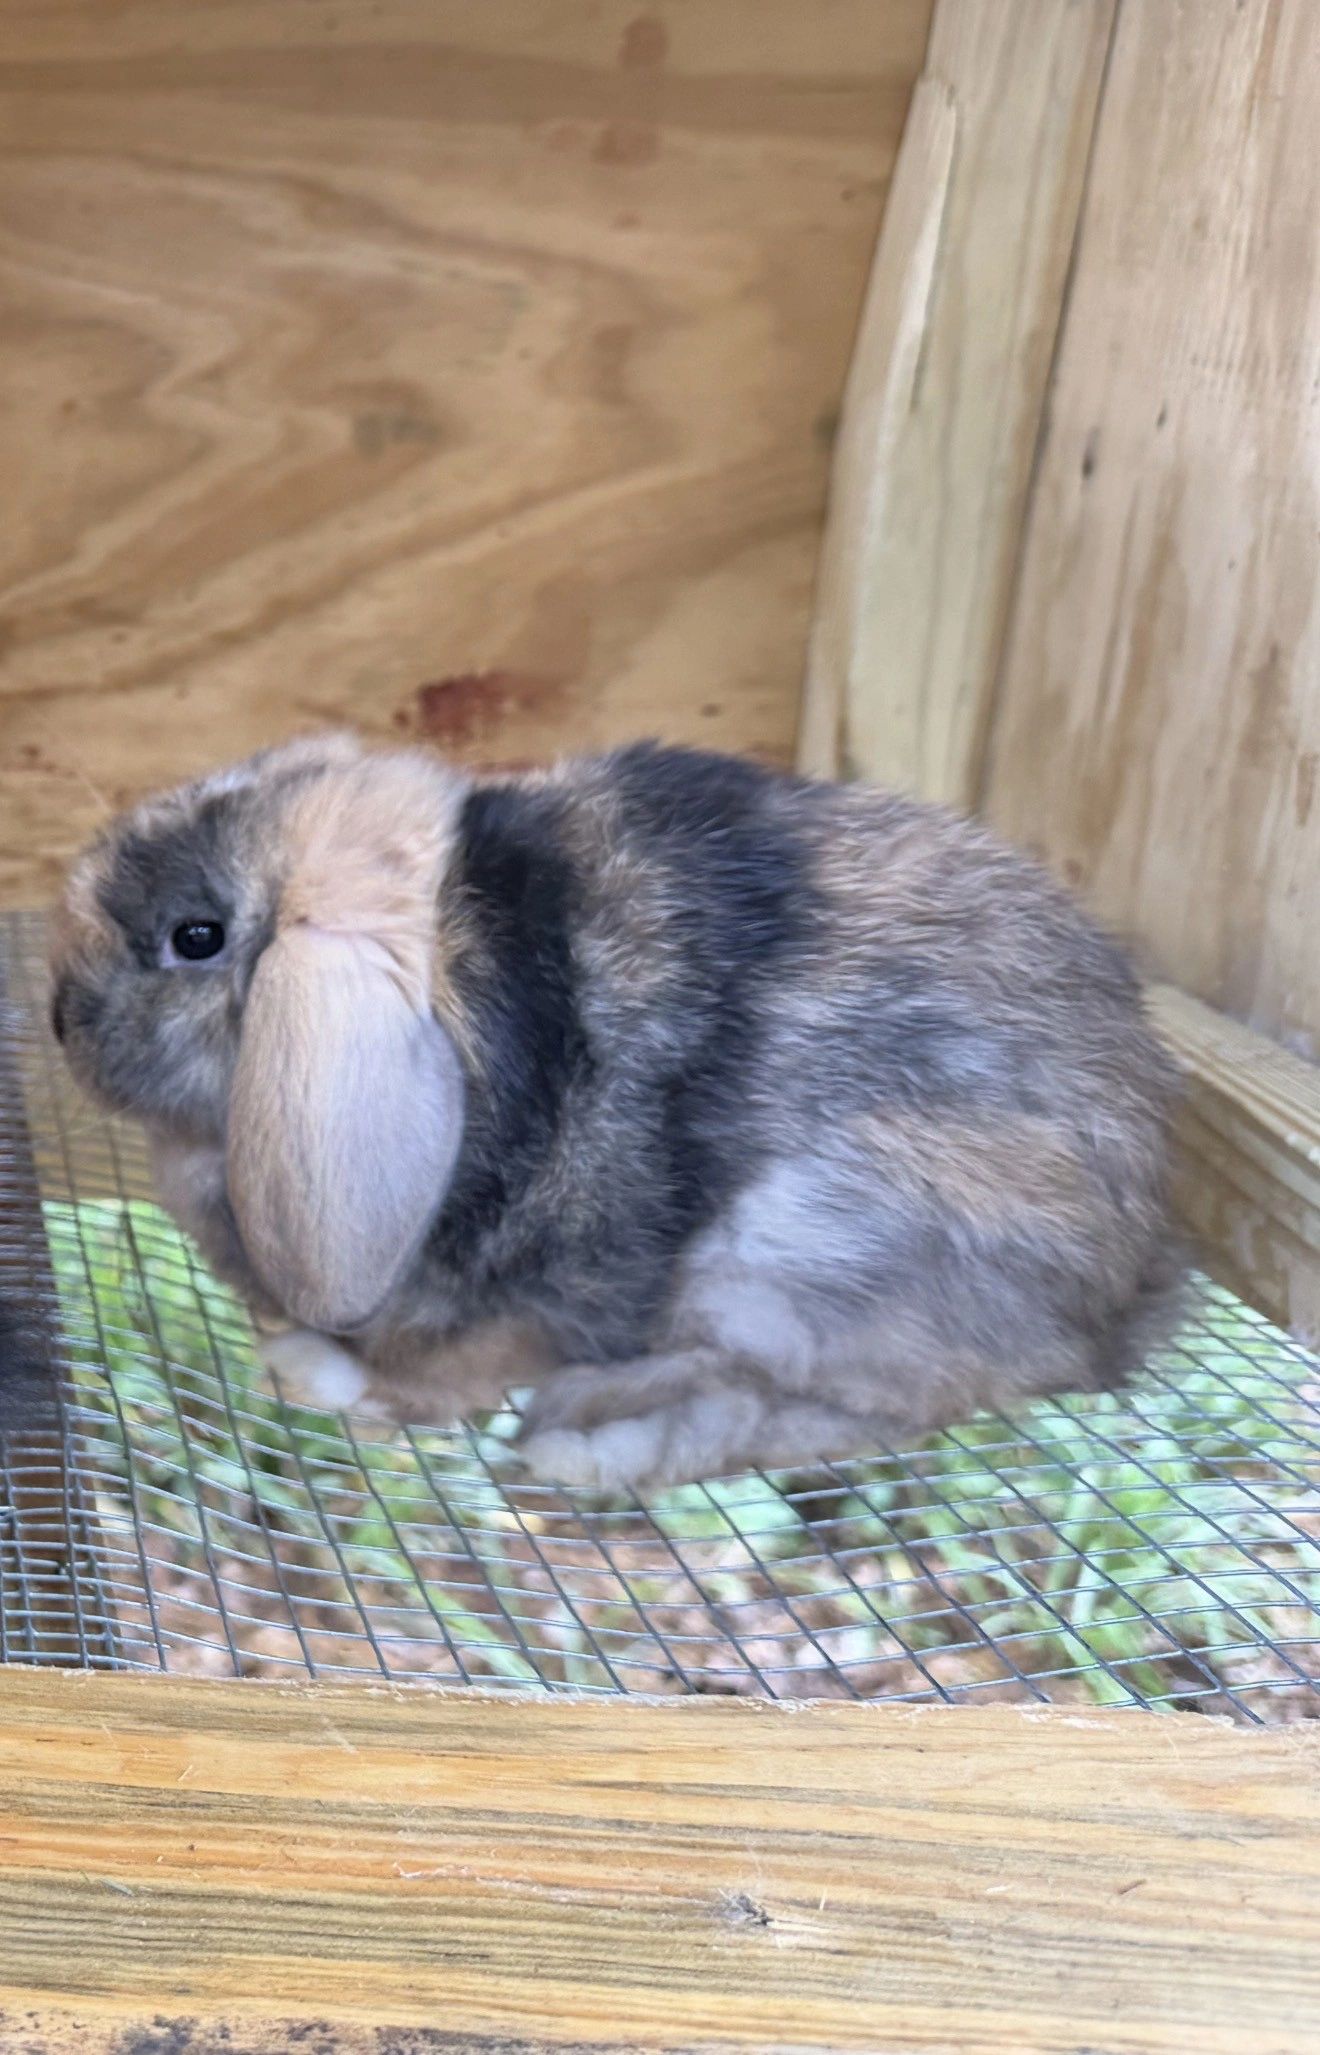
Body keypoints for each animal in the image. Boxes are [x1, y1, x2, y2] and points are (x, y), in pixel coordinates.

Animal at [50, 730, 1185, 1491]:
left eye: (194, 936)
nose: (62, 1017)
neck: (466, 964)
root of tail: (1118, 1301)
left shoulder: (531, 1299)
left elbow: (441, 1376)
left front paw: (323, 1378)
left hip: (792, 1250)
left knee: (843, 1406)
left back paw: (585, 1440)